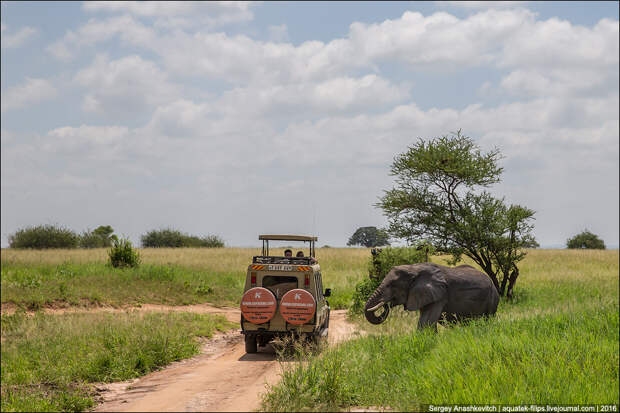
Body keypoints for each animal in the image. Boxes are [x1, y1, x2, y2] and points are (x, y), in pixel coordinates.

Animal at [364, 262, 498, 330]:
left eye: (392, 285)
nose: (386, 304)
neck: (414, 268)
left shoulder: (440, 295)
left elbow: (426, 322)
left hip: (492, 298)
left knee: (488, 319)